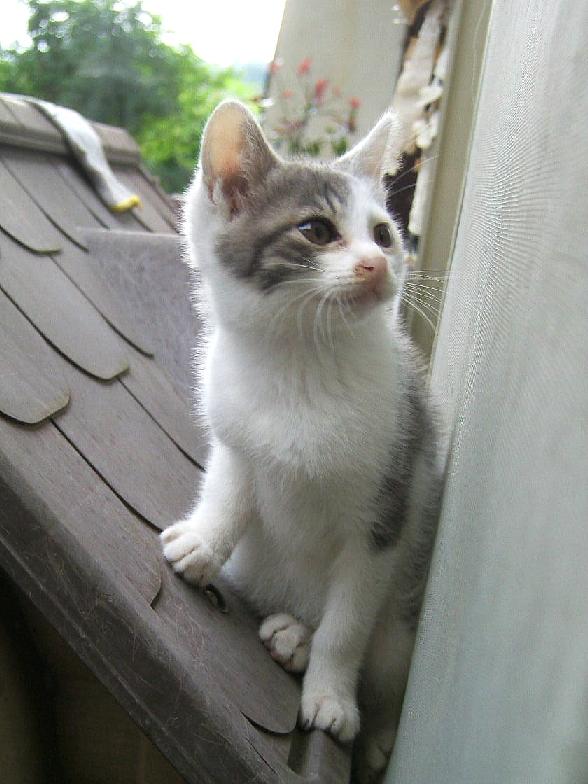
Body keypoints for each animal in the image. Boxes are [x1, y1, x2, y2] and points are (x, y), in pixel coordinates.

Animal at [161, 100, 441, 782]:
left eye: (384, 235)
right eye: (316, 230)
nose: (377, 264)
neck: (303, 362)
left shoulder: (389, 504)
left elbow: (349, 623)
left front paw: (332, 698)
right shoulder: (238, 438)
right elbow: (233, 492)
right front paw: (203, 544)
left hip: (401, 617)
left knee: (381, 659)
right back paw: (294, 634)